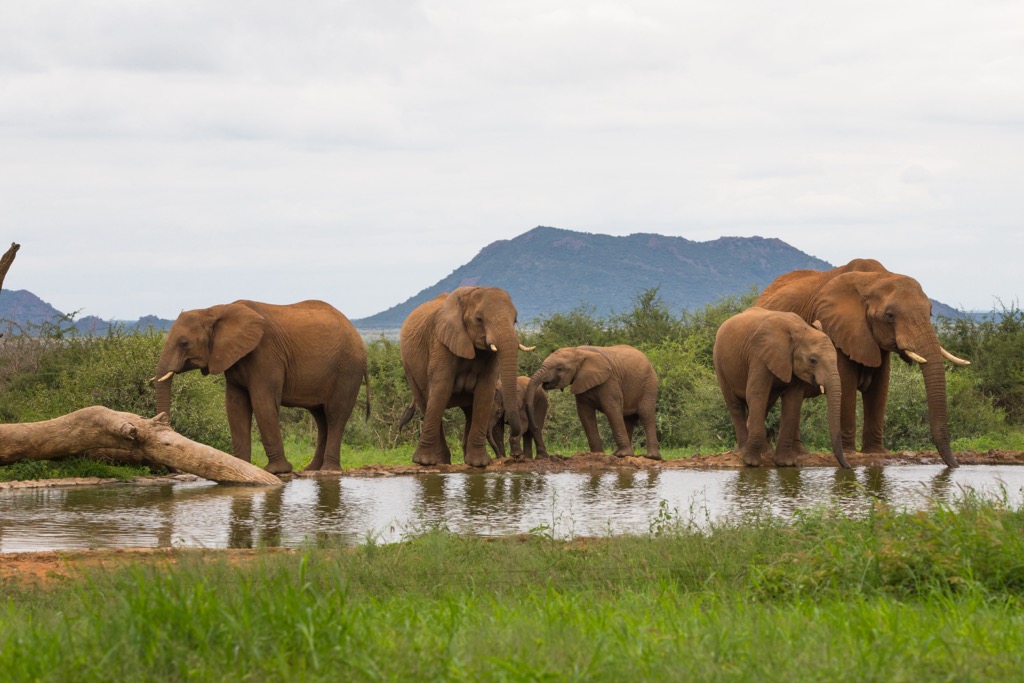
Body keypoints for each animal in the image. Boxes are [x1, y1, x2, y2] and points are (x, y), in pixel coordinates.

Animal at [397, 286, 528, 466]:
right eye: (479, 319)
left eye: (515, 320)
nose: (514, 456)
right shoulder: (441, 342)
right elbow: (440, 390)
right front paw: (423, 462)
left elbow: (484, 393)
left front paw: (479, 464)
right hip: (409, 367)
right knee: (426, 403)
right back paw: (440, 462)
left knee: (468, 411)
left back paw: (464, 460)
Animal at [524, 348, 659, 458]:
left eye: (559, 368)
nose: (536, 427)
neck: (578, 351)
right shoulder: (581, 381)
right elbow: (585, 413)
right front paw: (597, 454)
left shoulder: (610, 380)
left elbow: (611, 409)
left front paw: (623, 455)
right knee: (628, 419)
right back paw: (617, 454)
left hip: (649, 384)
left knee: (645, 414)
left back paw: (650, 456)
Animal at [712, 307, 847, 466]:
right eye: (812, 360)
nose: (847, 466)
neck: (800, 329)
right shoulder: (759, 356)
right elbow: (756, 393)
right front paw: (751, 463)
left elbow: (793, 400)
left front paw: (785, 463)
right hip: (719, 363)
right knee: (735, 405)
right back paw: (743, 451)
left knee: (765, 405)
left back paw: (764, 451)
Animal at [761, 259, 966, 466]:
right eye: (889, 315)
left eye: (930, 313)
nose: (955, 465)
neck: (875, 279)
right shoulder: (837, 331)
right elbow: (846, 386)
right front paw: (850, 452)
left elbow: (880, 388)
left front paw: (876, 452)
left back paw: (800, 453)